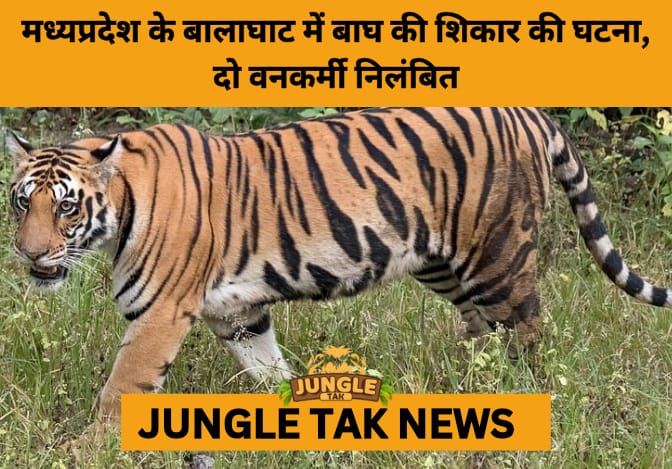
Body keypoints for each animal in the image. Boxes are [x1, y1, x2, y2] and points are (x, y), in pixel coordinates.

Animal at [6, 107, 672, 427]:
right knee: (483, 330)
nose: (30, 254)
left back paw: (520, 394)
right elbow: (268, 369)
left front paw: (89, 449)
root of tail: (531, 112)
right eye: (21, 201)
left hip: (498, 255)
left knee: (530, 333)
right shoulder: (239, 314)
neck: (119, 209)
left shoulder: (160, 314)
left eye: (65, 207)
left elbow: (121, 390)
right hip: (442, 263)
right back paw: (467, 385)